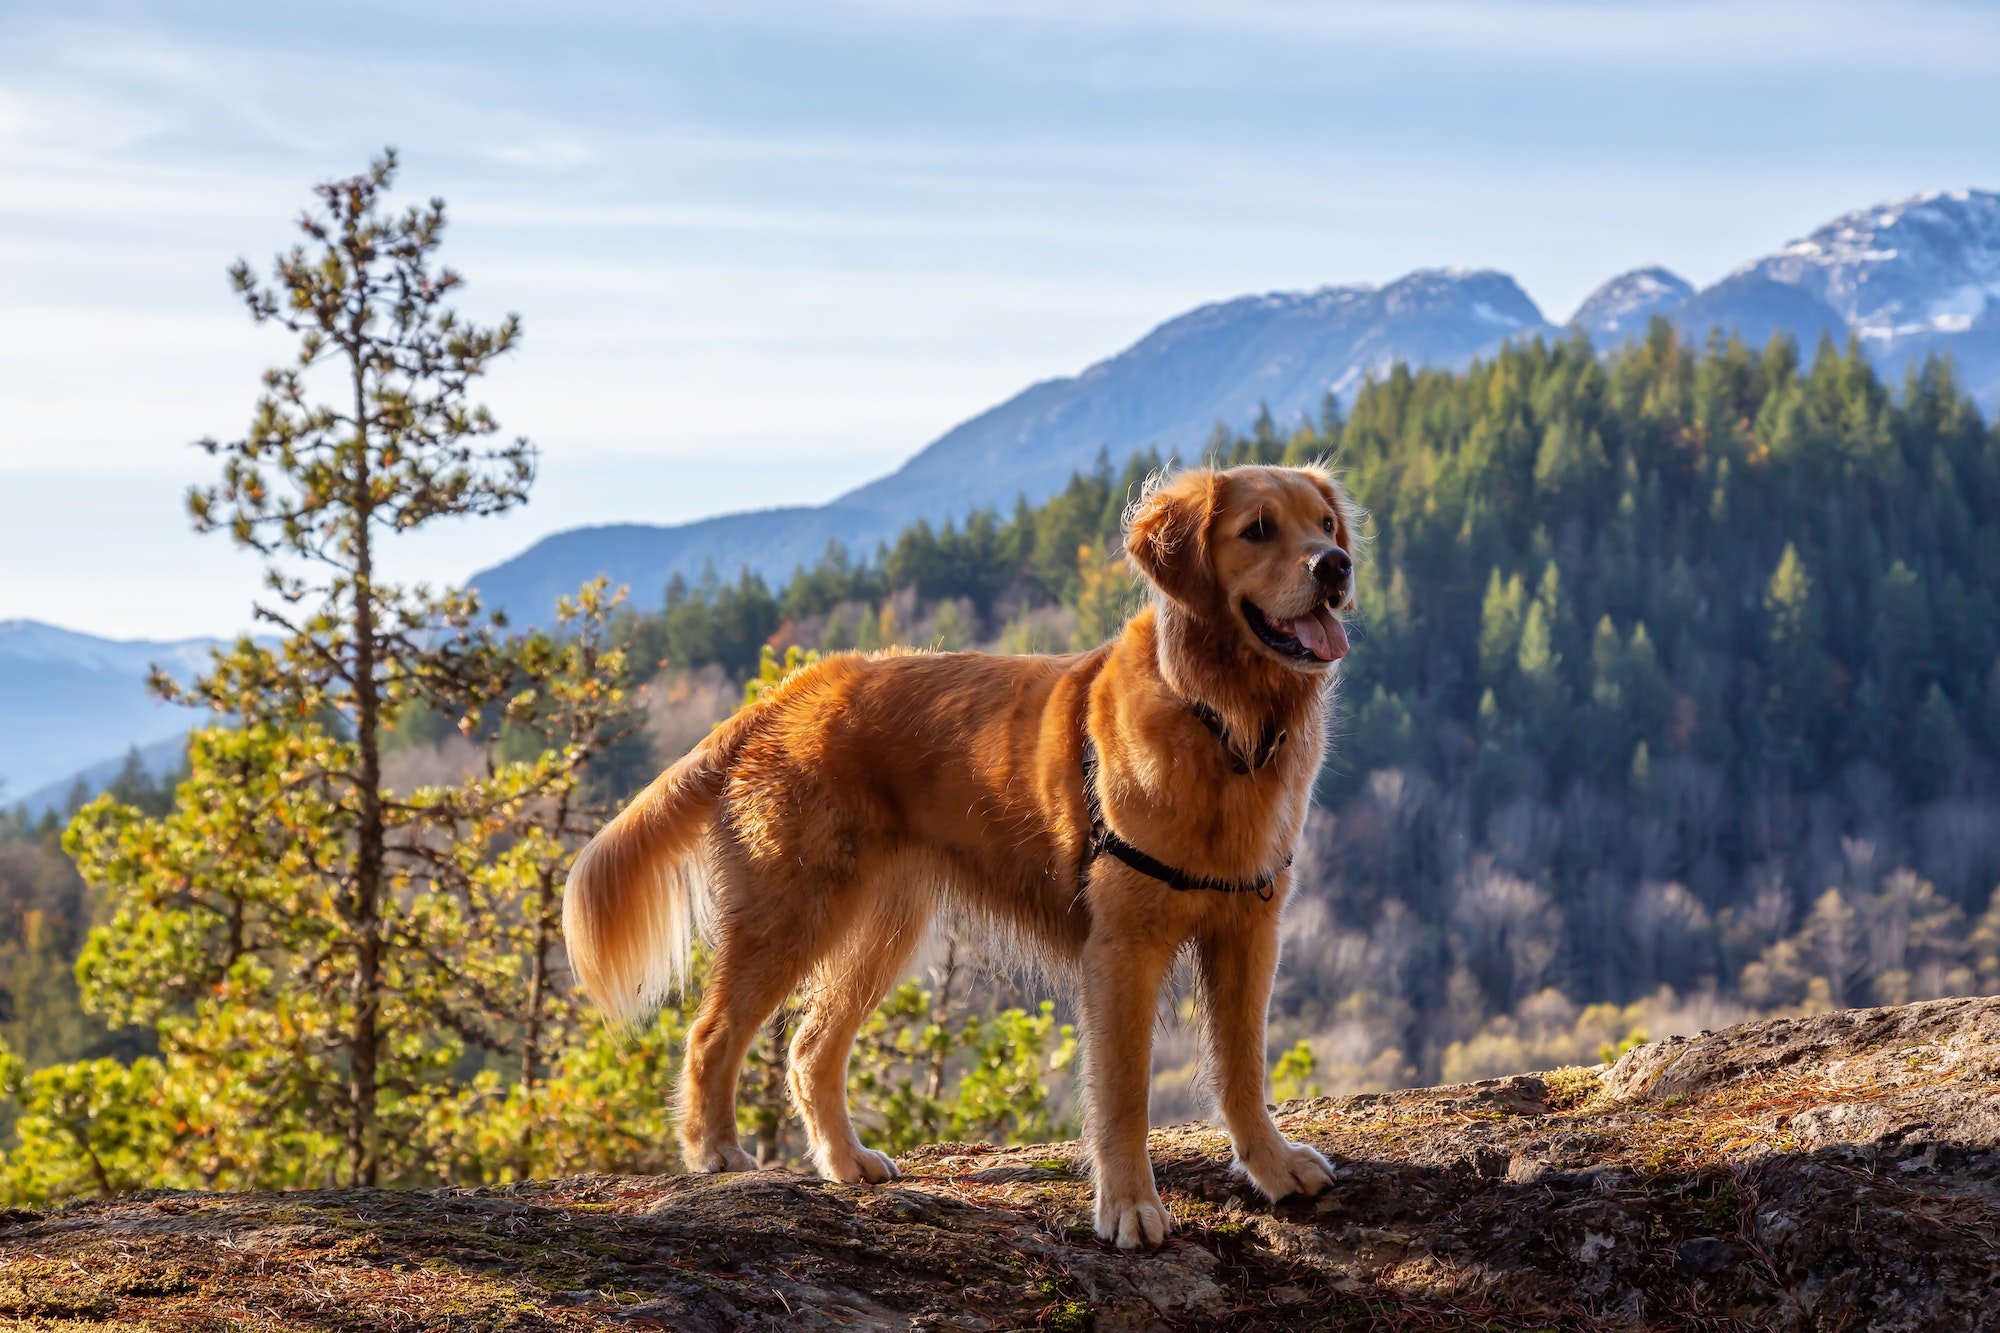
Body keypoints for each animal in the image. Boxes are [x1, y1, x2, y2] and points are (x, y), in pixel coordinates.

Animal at [556, 462, 1352, 1240]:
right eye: (1258, 529)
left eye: (1324, 524)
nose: (1337, 565)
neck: (1221, 718)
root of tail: (783, 696)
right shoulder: (1124, 946)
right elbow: (1125, 1092)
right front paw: (1129, 1205)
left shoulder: (1248, 931)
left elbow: (1243, 1069)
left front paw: (1272, 1165)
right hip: (792, 913)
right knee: (711, 1032)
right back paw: (716, 1150)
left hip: (880, 928)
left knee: (809, 1048)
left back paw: (844, 1160)